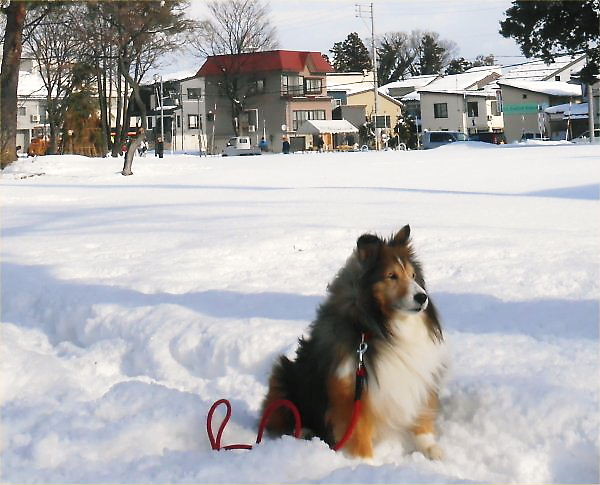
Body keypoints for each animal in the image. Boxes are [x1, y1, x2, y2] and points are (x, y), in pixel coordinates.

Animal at [260, 224, 448, 458]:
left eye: (413, 275)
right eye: (391, 276)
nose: (422, 298)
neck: (378, 329)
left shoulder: (418, 376)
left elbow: (422, 416)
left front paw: (430, 448)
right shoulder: (350, 393)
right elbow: (359, 436)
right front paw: (366, 462)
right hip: (281, 375)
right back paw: (303, 431)